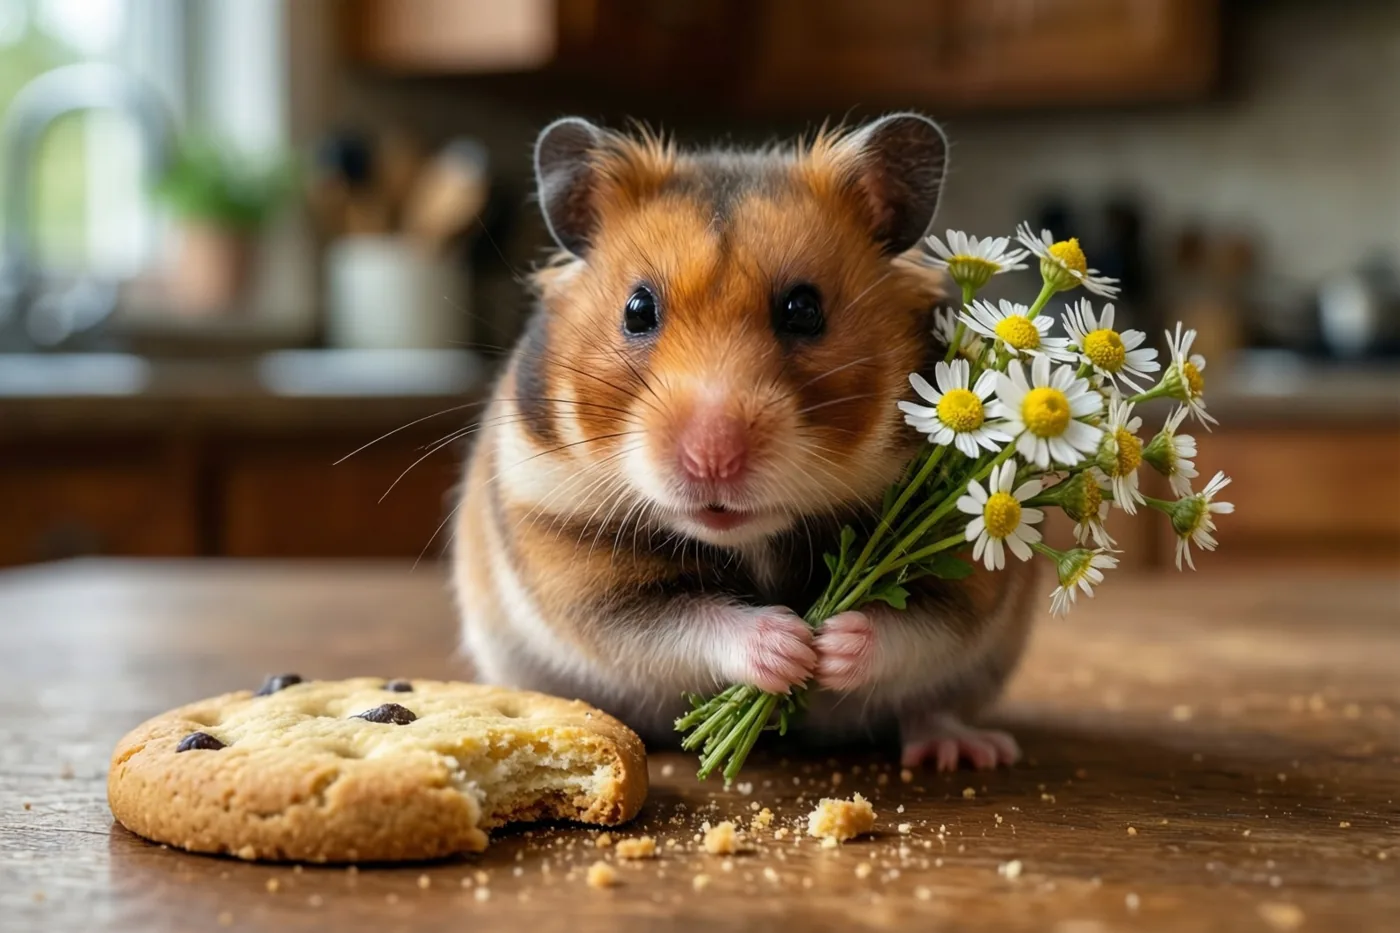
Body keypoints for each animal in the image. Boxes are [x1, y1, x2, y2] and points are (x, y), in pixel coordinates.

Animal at [453, 113, 1037, 771]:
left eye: (804, 309)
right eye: (637, 309)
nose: (713, 461)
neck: (751, 537)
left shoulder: (967, 564)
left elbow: (915, 624)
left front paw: (829, 645)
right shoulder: (570, 551)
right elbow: (679, 621)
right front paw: (790, 645)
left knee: (928, 705)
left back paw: (964, 750)